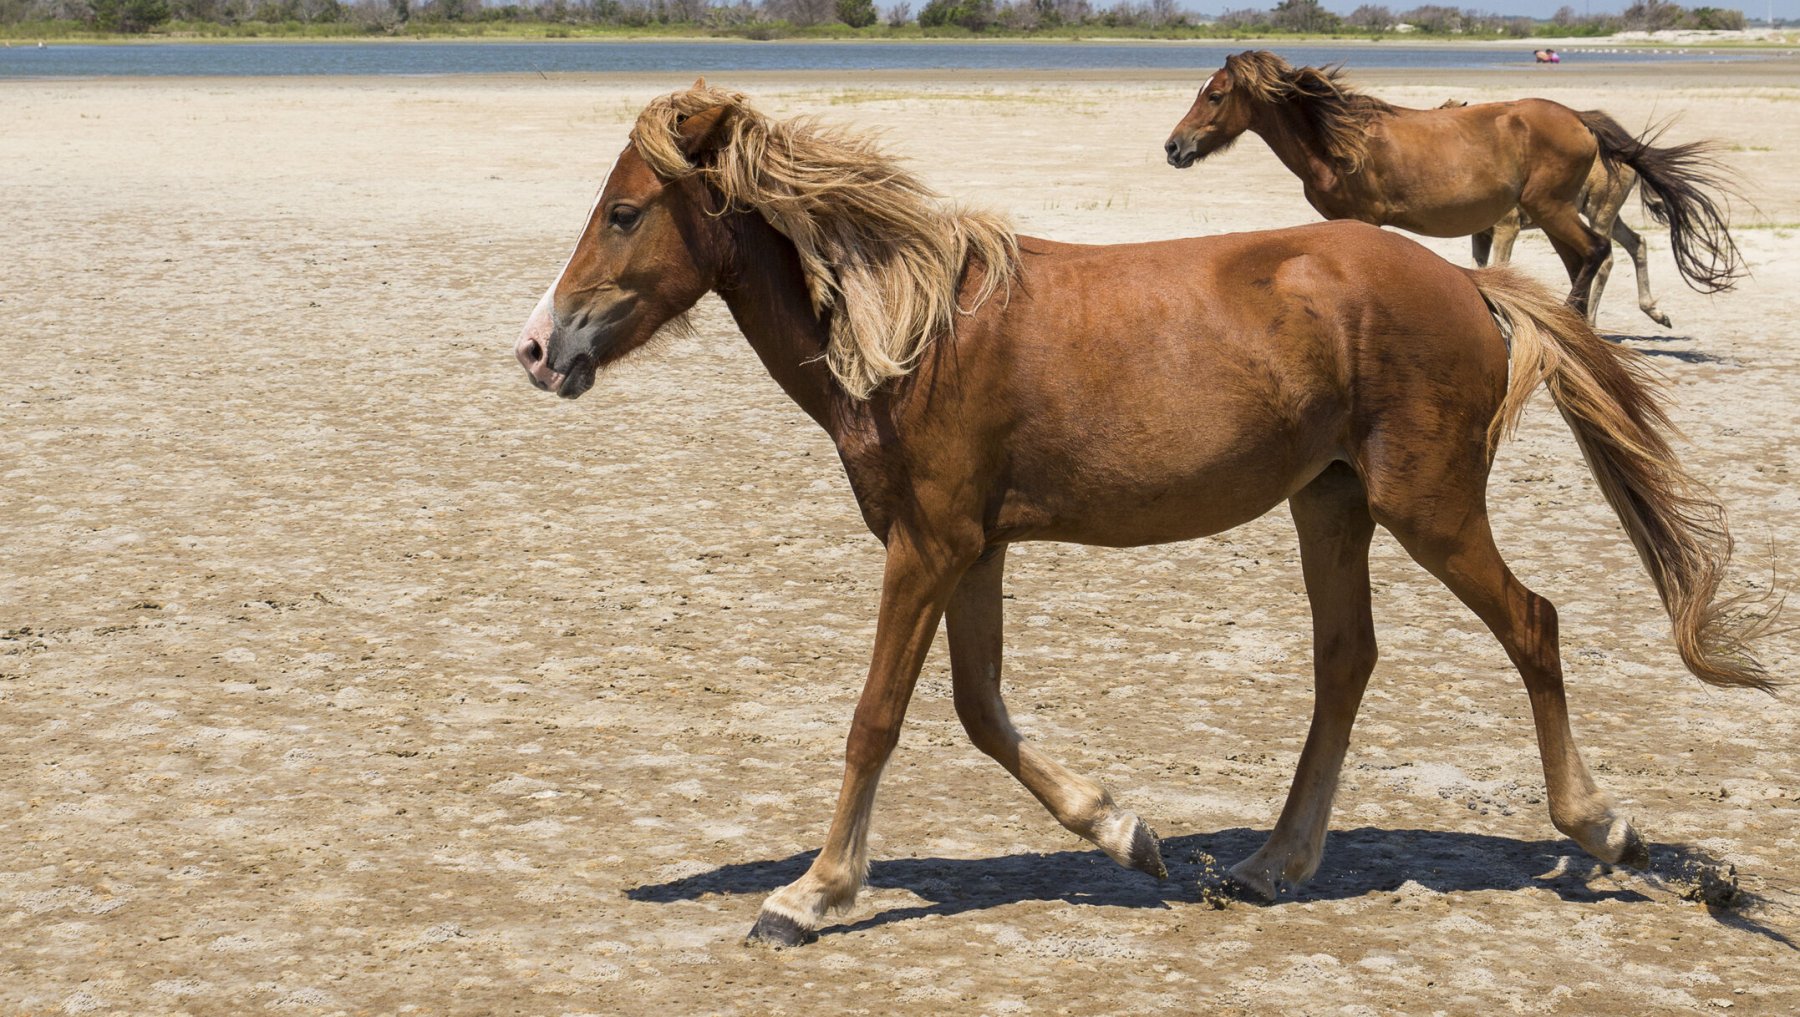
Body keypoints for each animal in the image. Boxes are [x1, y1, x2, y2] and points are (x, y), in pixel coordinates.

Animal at [511, 85, 1771, 943]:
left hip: (1429, 504)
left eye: (624, 212)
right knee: (1347, 658)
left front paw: (809, 894)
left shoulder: (928, 548)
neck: (910, 337)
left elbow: (879, 717)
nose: (536, 350)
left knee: (1531, 625)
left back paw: (1609, 830)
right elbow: (978, 709)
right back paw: (1270, 864)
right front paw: (1126, 831)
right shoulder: (967, 550)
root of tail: (1466, 280)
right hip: (1332, 504)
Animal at [1166, 47, 1742, 315]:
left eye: (1215, 95)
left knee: (1598, 254)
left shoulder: (1366, 220)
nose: (1174, 147)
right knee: (1588, 259)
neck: (1339, 142)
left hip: (1553, 208)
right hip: (1557, 216)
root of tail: (1579, 119)